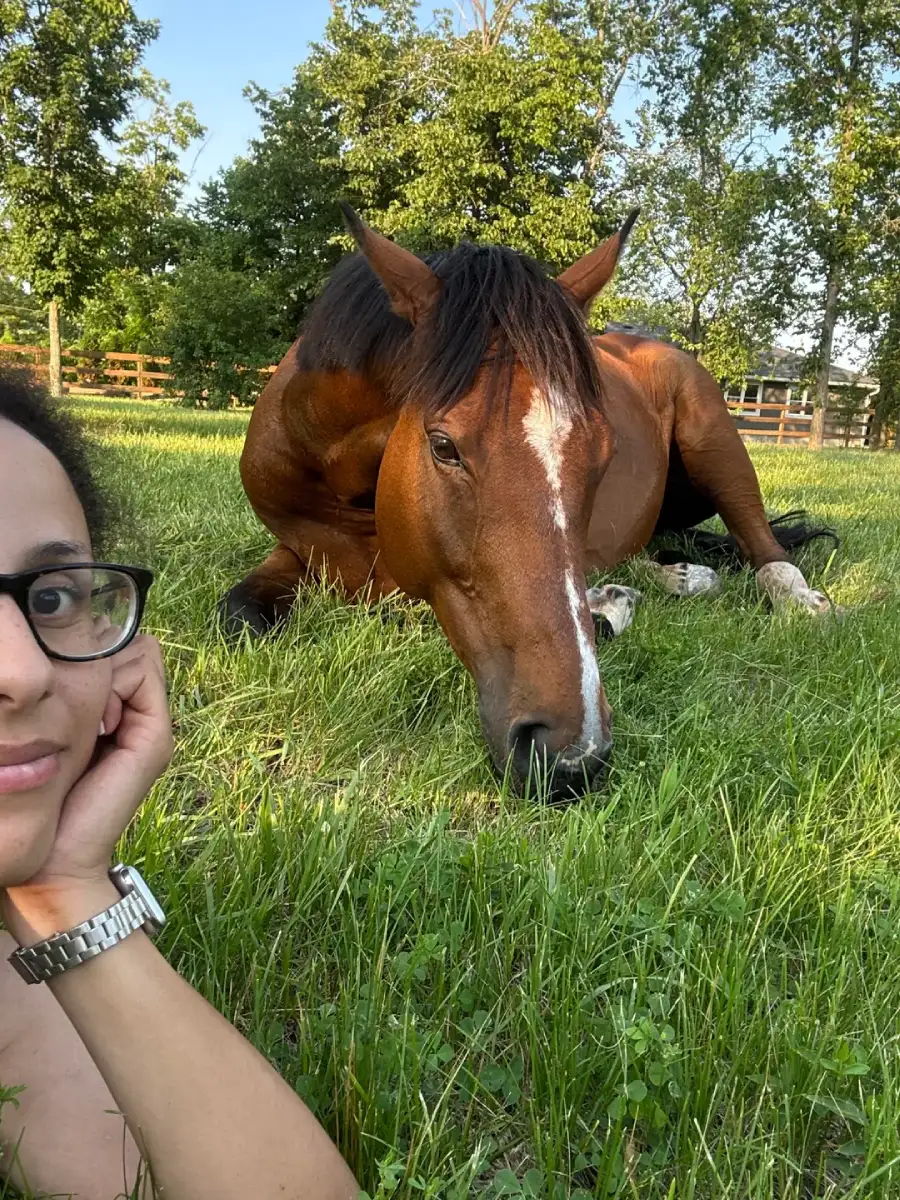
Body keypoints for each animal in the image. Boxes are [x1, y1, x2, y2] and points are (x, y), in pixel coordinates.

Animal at [222, 205, 833, 800]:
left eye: (605, 452)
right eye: (443, 446)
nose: (571, 755)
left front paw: (605, 606)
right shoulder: (303, 551)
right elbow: (239, 616)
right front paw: (614, 597)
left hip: (717, 444)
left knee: (765, 550)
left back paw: (796, 599)